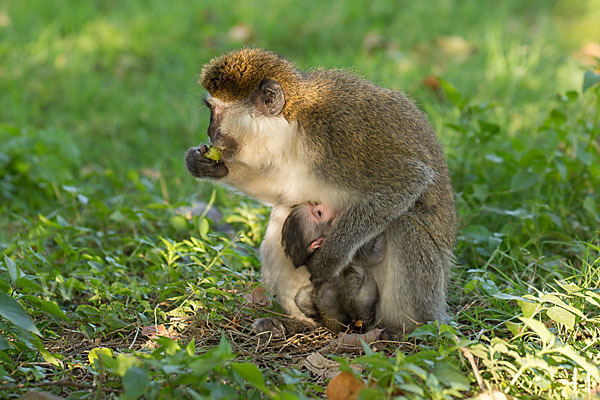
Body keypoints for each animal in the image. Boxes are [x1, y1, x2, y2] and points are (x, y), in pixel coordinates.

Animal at [278, 203, 382, 332]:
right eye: (319, 213)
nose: (318, 203)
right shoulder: (349, 252)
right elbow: (372, 255)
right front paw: (379, 235)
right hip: (360, 308)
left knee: (301, 297)